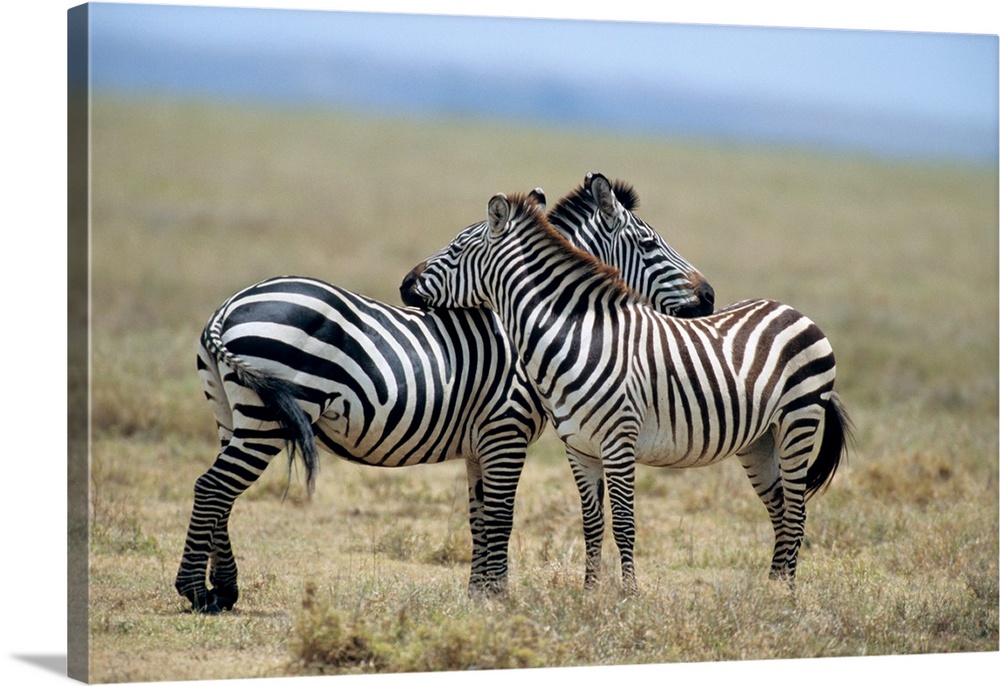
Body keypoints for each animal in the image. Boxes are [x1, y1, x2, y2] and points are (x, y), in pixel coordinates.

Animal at [176, 176, 716, 612]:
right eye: (648, 244)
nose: (709, 296)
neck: (532, 324)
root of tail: (228, 308)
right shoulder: (506, 430)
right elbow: (501, 517)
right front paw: (497, 597)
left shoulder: (481, 443)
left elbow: (479, 518)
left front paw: (478, 594)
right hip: (264, 421)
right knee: (212, 488)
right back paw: (197, 591)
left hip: (233, 415)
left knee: (221, 495)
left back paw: (223, 590)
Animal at [398, 189, 852, 596]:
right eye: (649, 243)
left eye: (457, 248)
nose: (405, 285)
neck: (577, 337)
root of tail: (791, 309)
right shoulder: (578, 448)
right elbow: (592, 523)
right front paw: (590, 592)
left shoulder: (617, 442)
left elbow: (623, 522)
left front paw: (629, 594)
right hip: (759, 440)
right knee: (780, 508)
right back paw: (773, 588)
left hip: (798, 422)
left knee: (796, 510)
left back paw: (787, 595)